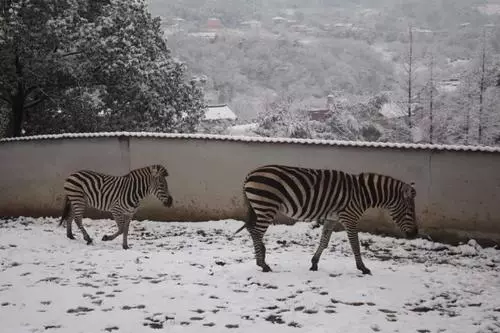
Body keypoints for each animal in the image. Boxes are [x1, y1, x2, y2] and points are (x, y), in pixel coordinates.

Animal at [234, 162, 418, 274]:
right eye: (410, 210)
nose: (415, 234)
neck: (362, 194)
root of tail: (250, 173)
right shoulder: (350, 217)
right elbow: (355, 244)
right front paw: (363, 268)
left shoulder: (332, 218)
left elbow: (324, 241)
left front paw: (314, 263)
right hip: (266, 206)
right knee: (256, 232)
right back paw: (263, 264)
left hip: (260, 207)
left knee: (252, 229)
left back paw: (262, 258)